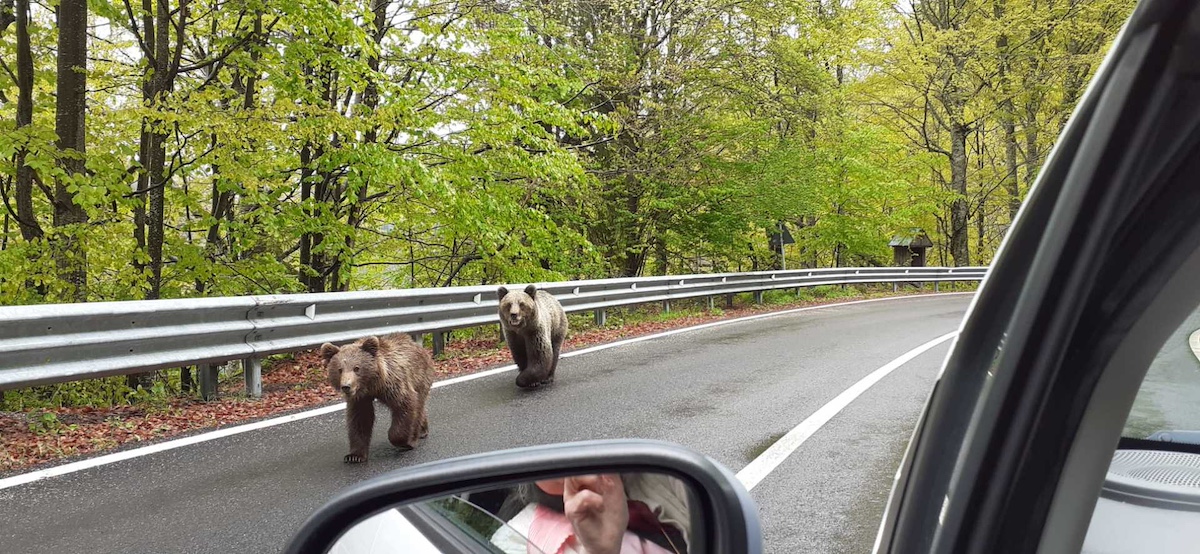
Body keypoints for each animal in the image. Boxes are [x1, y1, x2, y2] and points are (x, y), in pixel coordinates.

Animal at [321, 333, 434, 462]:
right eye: (339, 369)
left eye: (356, 368)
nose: (346, 386)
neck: (372, 386)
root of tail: (420, 348)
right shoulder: (360, 398)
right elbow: (360, 419)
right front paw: (354, 456)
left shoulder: (394, 384)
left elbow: (405, 404)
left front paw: (404, 442)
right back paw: (423, 429)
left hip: (420, 378)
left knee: (419, 405)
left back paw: (418, 433)